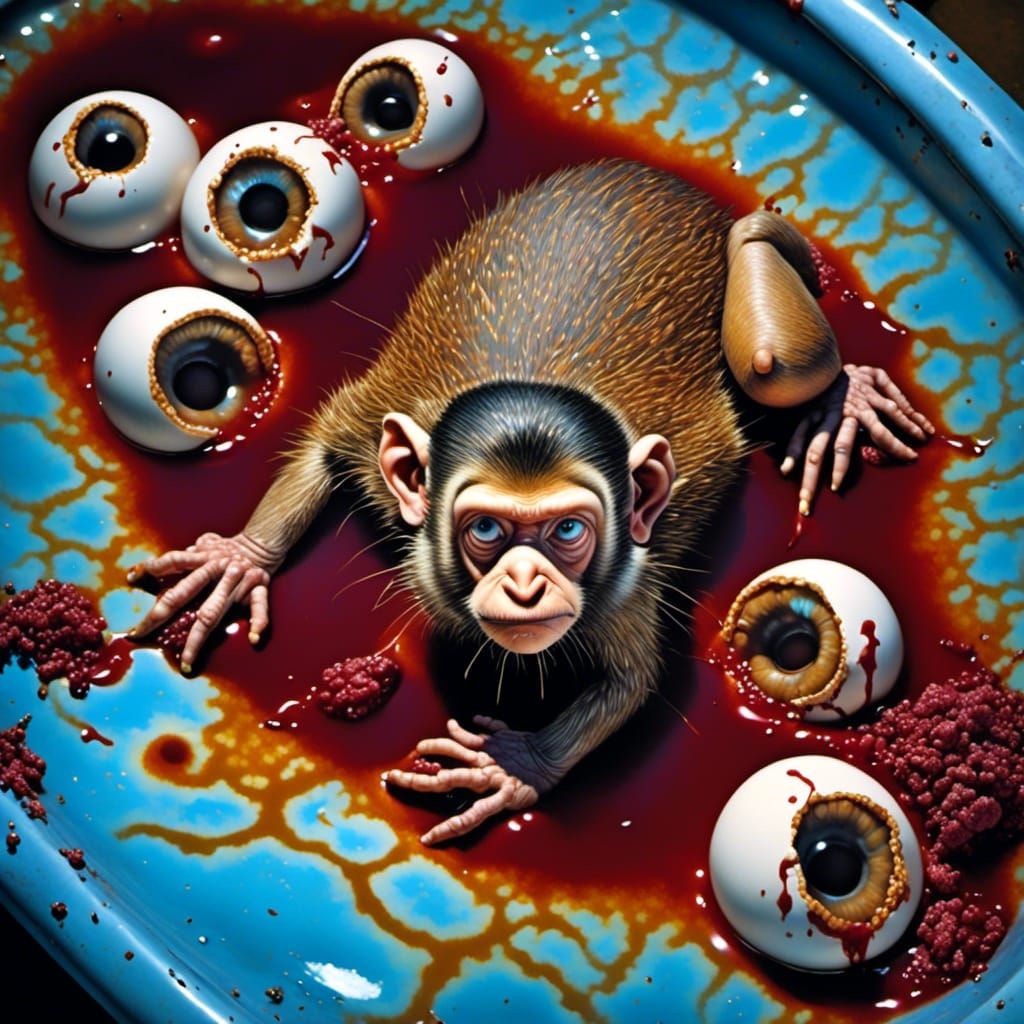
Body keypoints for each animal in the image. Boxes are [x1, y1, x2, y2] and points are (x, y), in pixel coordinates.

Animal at [129, 160, 933, 845]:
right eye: (486, 530)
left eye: (569, 532)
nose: (523, 585)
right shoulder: (384, 430)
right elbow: (329, 436)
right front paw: (240, 560)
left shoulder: (629, 576)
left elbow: (633, 681)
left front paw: (518, 767)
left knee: (769, 339)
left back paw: (837, 395)